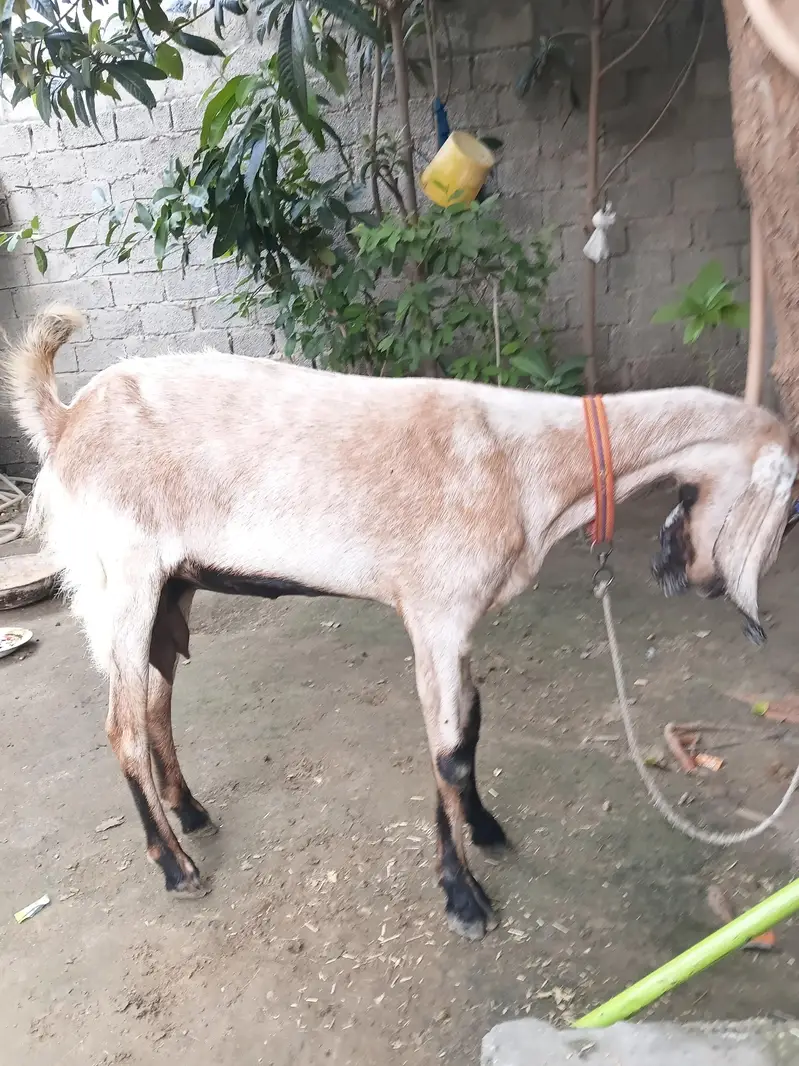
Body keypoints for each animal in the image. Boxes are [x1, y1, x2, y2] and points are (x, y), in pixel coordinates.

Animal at [5, 305, 798, 940]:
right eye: (785, 508)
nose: (693, 581)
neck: (530, 463)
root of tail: (66, 421)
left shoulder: (459, 618)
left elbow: (470, 727)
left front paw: (485, 830)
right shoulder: (435, 613)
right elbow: (446, 753)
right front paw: (464, 898)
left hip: (171, 589)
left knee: (156, 700)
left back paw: (191, 813)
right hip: (121, 580)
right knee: (123, 726)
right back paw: (175, 866)